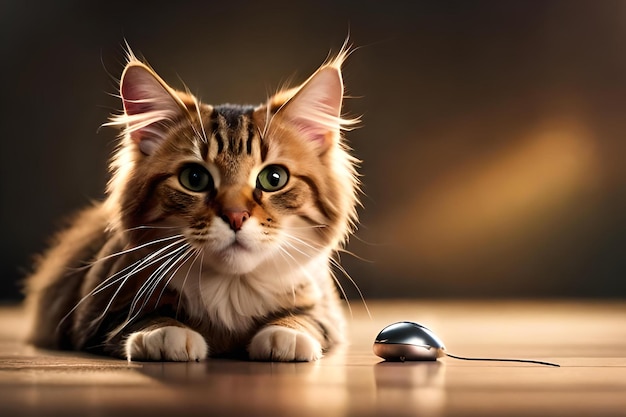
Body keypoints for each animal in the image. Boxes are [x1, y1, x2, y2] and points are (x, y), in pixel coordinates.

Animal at [23, 46, 356, 360]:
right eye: (194, 178)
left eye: (274, 178)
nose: (236, 216)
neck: (231, 288)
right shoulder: (99, 311)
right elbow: (145, 316)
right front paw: (165, 334)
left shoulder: (325, 307)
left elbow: (307, 317)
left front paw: (286, 333)